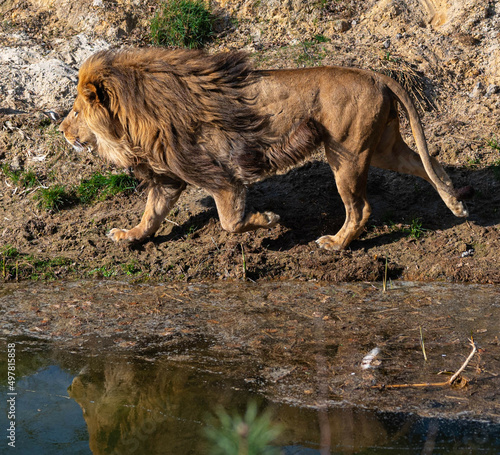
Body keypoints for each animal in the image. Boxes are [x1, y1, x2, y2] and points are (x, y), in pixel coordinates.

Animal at [59, 48, 468, 251]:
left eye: (76, 111)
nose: (62, 131)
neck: (131, 120)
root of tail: (373, 74)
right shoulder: (169, 178)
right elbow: (151, 215)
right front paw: (129, 236)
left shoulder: (221, 178)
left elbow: (230, 222)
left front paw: (269, 220)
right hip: (381, 146)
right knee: (428, 164)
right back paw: (456, 204)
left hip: (346, 155)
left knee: (361, 208)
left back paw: (335, 244)